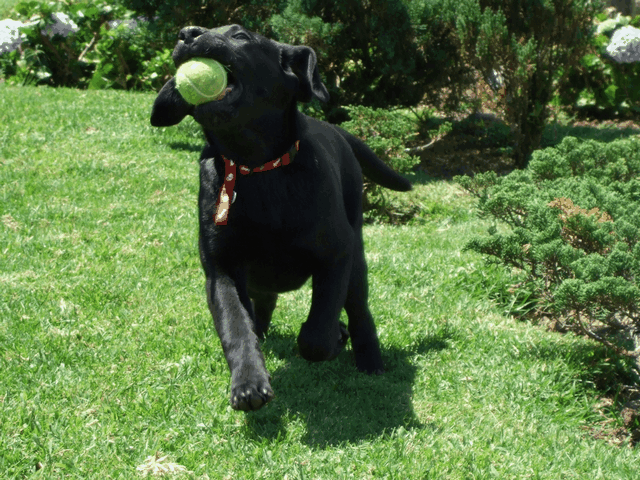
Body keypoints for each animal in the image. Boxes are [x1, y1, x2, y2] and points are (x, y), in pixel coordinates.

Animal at [151, 24, 411, 411]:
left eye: (240, 35)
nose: (187, 33)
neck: (257, 168)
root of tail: (335, 130)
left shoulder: (336, 254)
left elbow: (318, 331)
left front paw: (333, 339)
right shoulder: (221, 270)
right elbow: (236, 328)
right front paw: (248, 383)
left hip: (356, 259)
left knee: (359, 310)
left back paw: (369, 359)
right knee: (262, 306)